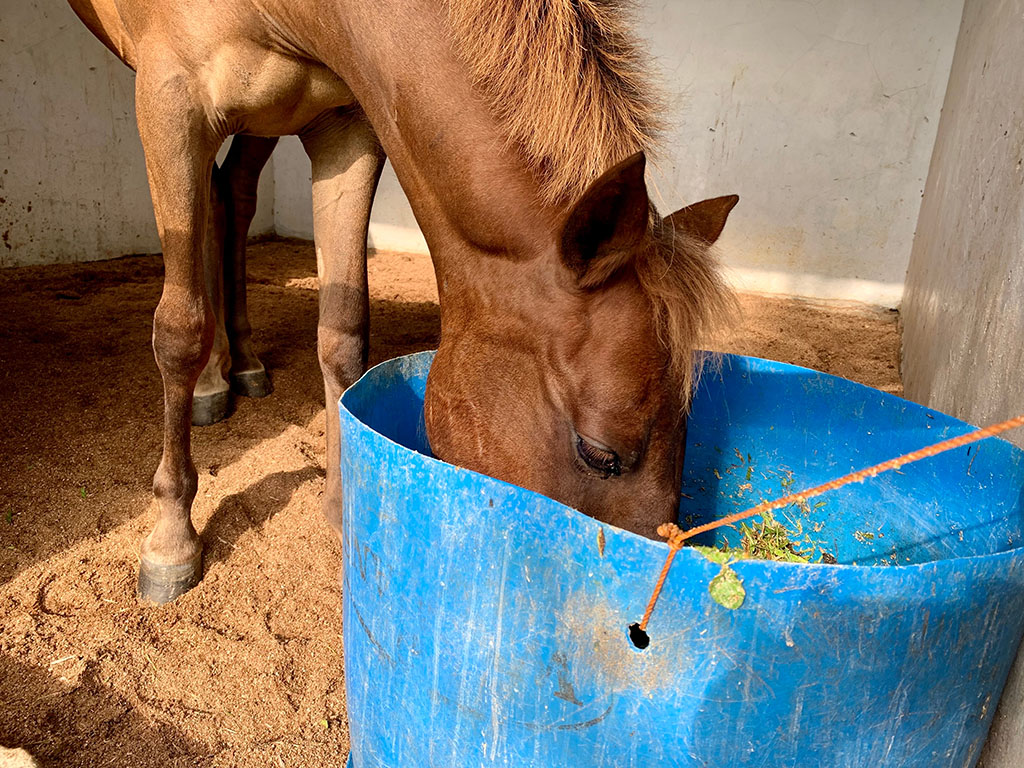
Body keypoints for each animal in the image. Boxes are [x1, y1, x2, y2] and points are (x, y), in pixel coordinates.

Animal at [66, 0, 737, 603]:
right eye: (601, 455)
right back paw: (211, 381)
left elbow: (342, 330)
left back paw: (244, 363)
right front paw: (171, 541)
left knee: (231, 193)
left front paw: (344, 505)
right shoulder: (168, 100)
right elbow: (178, 332)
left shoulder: (346, 126)